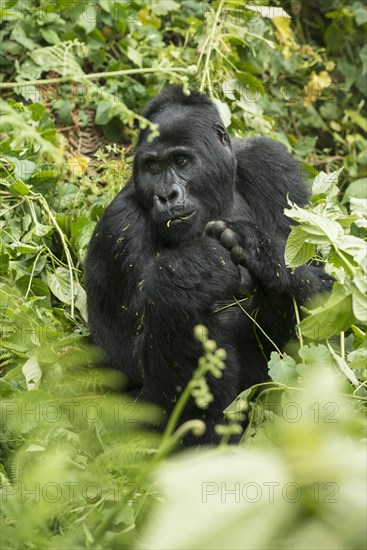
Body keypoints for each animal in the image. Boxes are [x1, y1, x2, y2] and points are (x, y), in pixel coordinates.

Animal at [85, 87, 332, 448]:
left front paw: (263, 254)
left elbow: (322, 285)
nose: (166, 195)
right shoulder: (120, 225)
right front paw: (194, 270)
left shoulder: (271, 163)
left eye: (181, 161)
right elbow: (127, 361)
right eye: (152, 167)